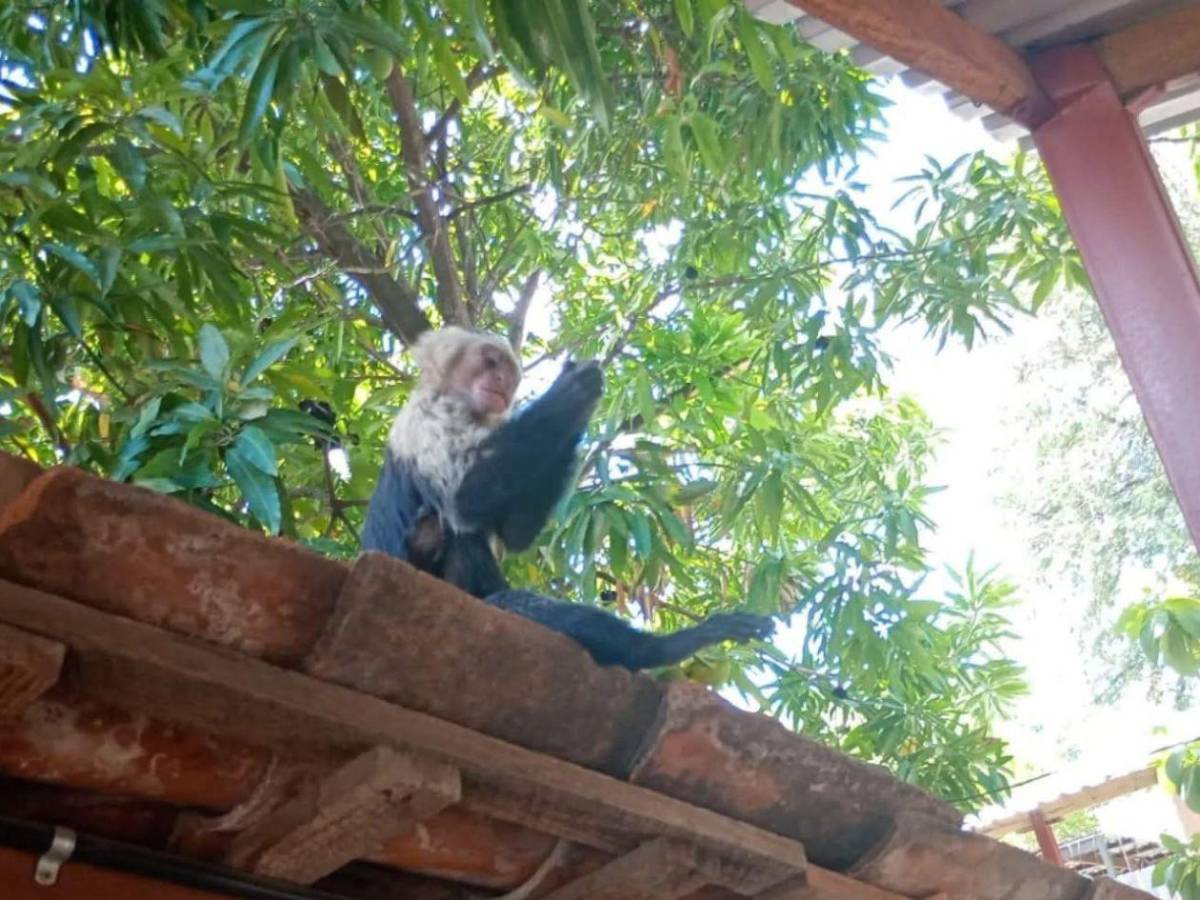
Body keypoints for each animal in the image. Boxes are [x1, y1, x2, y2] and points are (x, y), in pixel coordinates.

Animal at [362, 326, 775, 670]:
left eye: (508, 373)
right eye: (490, 362)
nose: (502, 382)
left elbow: (515, 532)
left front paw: (582, 405)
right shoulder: (428, 416)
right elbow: (466, 500)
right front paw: (574, 390)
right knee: (462, 545)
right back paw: (659, 649)